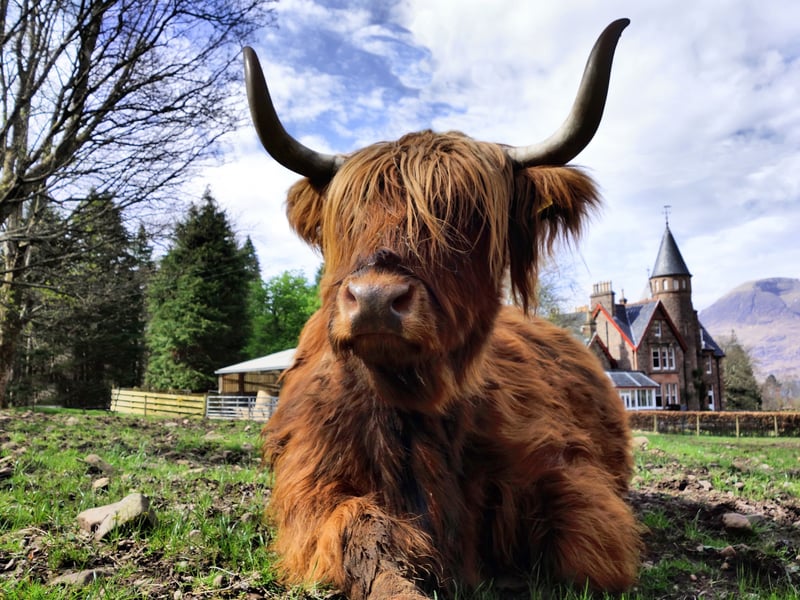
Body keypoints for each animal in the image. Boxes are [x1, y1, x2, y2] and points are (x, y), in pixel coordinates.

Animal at [244, 19, 640, 600]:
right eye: (349, 216)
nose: (375, 299)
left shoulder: (564, 471)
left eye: (467, 216)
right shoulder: (315, 484)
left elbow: (586, 554)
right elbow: (364, 540)